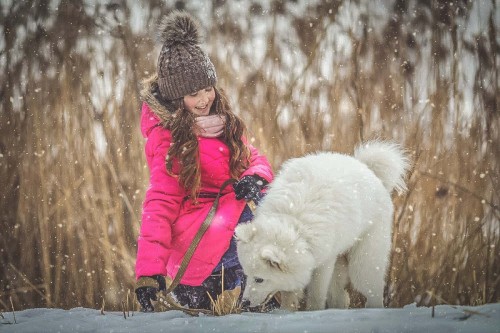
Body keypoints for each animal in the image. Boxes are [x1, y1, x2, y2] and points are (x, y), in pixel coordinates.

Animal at [236, 139, 408, 308]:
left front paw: (313, 310)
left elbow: (316, 295)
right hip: (341, 262)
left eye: (259, 279)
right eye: (246, 275)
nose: (244, 303)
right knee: (341, 297)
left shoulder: (324, 262)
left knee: (371, 289)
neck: (293, 224)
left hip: (363, 261)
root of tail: (367, 168)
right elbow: (289, 296)